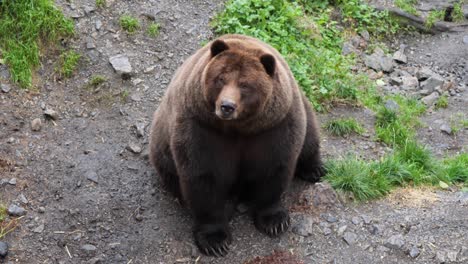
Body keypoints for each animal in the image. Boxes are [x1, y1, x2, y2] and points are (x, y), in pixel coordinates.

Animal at [148, 33, 324, 256]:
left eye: (245, 84)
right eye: (220, 78)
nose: (227, 106)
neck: (239, 128)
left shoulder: (274, 127)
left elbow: (275, 168)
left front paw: (274, 220)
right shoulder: (200, 127)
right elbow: (204, 177)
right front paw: (215, 240)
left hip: (299, 103)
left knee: (310, 135)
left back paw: (315, 169)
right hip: (163, 150)